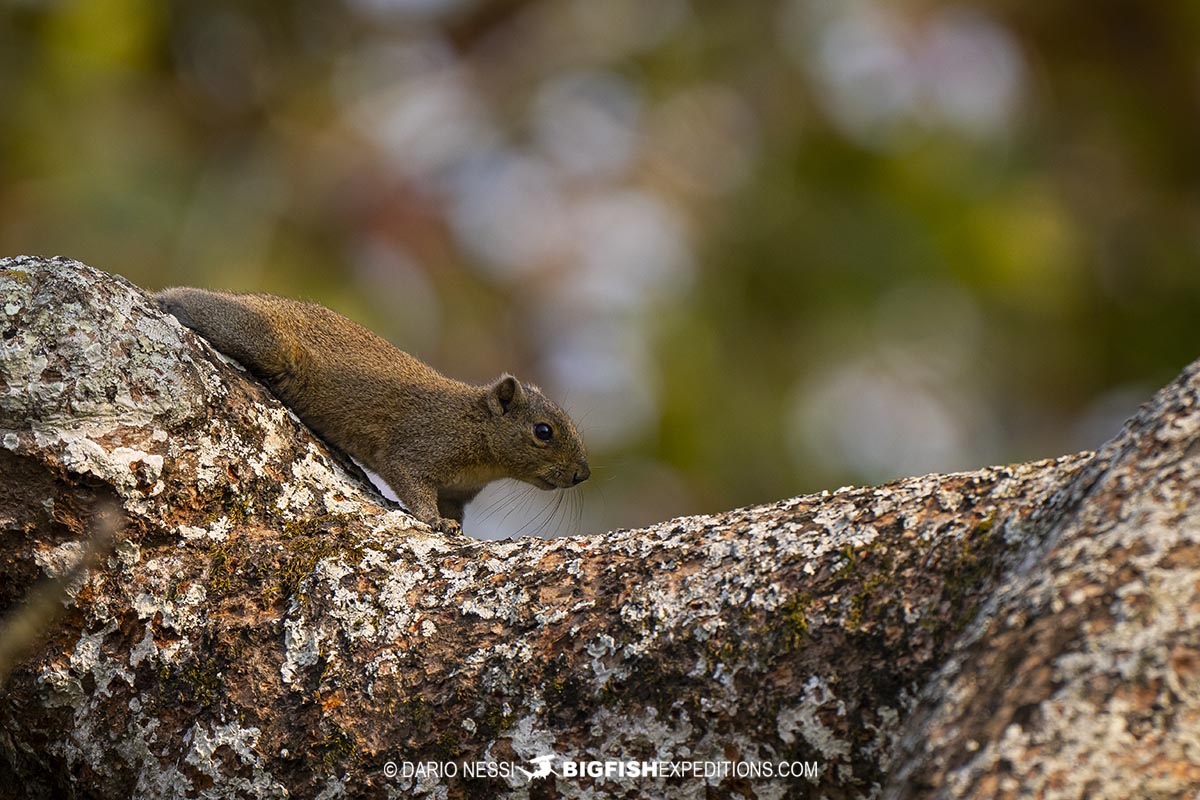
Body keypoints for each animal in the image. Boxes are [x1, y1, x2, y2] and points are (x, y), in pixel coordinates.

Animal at [156, 284, 590, 534]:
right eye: (544, 432)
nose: (582, 475)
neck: (474, 428)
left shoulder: (458, 492)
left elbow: (453, 509)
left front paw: (454, 528)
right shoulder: (421, 445)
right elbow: (411, 483)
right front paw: (434, 521)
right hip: (263, 339)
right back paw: (169, 300)